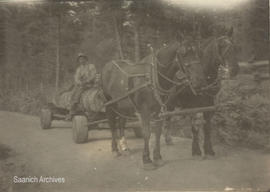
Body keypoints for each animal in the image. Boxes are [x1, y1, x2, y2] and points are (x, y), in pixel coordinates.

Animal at [102, 41, 205, 169]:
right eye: (183, 54)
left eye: (198, 53)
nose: (200, 80)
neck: (153, 77)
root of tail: (108, 65)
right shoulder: (145, 110)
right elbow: (147, 133)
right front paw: (147, 159)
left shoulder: (158, 110)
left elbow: (158, 132)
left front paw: (158, 157)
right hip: (110, 104)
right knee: (112, 124)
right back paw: (115, 149)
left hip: (123, 106)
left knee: (121, 123)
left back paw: (125, 147)